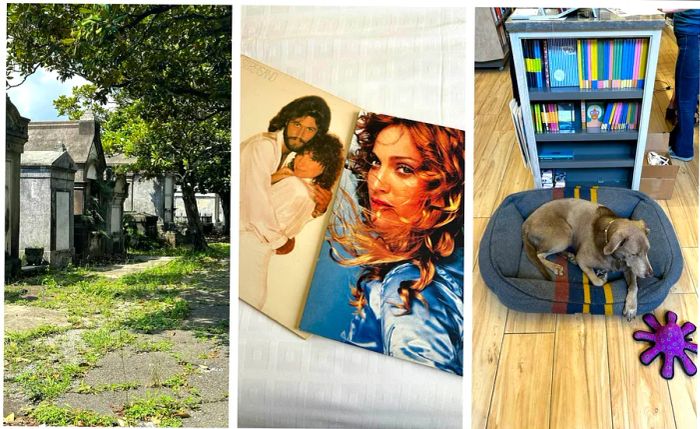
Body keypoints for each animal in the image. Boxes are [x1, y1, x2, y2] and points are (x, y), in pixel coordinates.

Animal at [524, 199, 652, 320]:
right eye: (634, 254)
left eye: (647, 251)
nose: (650, 274)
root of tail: (526, 223)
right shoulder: (582, 259)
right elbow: (597, 282)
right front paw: (602, 277)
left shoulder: (629, 267)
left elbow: (634, 286)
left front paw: (631, 308)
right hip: (565, 234)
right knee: (540, 254)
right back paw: (556, 266)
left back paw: (570, 257)